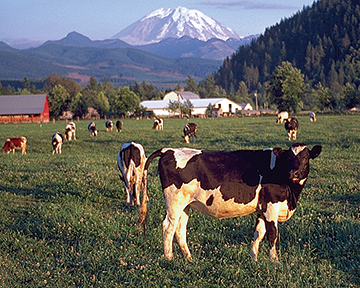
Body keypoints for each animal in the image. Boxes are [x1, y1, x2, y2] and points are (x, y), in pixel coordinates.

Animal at [139, 144, 322, 264]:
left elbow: (258, 233)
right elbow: (272, 234)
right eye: (289, 158)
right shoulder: (271, 206)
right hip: (175, 202)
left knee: (180, 229)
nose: (294, 172)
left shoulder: (262, 208)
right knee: (168, 226)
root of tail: (168, 150)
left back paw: (189, 258)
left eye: (305, 157)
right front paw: (274, 261)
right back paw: (169, 257)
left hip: (186, 205)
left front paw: (254, 258)